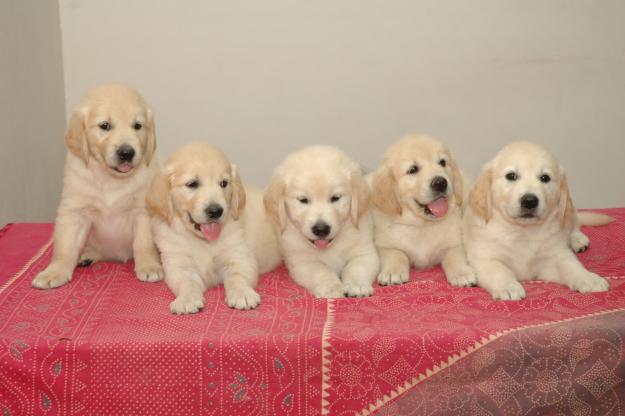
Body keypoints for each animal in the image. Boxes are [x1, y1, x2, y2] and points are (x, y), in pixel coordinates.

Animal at [33, 84, 162, 290]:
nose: (127, 152)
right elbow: (65, 246)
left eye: (137, 126)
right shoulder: (74, 212)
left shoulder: (143, 212)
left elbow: (144, 243)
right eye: (105, 126)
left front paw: (149, 266)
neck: (110, 179)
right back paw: (86, 255)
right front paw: (54, 271)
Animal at [146, 141, 278, 314]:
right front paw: (187, 300)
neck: (203, 241)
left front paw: (242, 294)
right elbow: (187, 282)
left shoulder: (239, 255)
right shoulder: (178, 263)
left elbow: (237, 276)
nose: (215, 211)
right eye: (192, 184)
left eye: (223, 183)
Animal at [262, 146, 378, 300]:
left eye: (335, 198)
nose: (321, 229)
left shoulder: (365, 251)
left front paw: (357, 285)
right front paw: (332, 287)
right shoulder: (302, 262)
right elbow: (322, 271)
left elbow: (357, 267)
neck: (329, 246)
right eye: (303, 200)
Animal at [368, 135, 476, 288]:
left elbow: (455, 256)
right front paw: (392, 272)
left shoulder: (455, 243)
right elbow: (396, 254)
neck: (422, 225)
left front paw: (462, 274)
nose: (440, 183)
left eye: (442, 162)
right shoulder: (384, 245)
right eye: (413, 169)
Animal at [466, 141, 612, 300]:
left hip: (569, 209)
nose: (529, 201)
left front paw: (589, 278)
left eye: (545, 178)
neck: (522, 231)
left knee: (574, 223)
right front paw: (508, 286)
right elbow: (499, 271)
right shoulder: (485, 258)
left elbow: (572, 266)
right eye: (511, 176)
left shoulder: (555, 257)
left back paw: (578, 239)